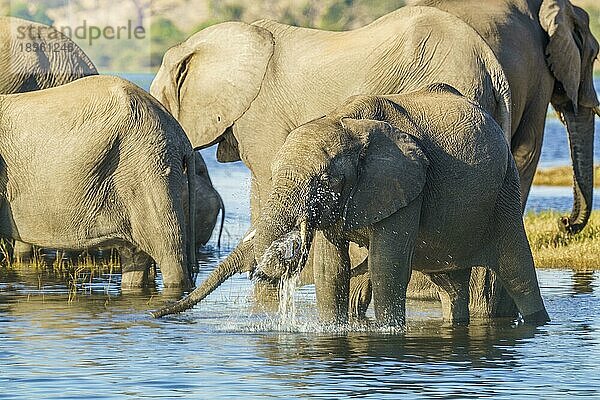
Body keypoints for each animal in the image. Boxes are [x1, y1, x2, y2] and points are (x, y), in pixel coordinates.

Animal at [154, 83, 548, 324]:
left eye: (322, 181)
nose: (155, 316)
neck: (347, 123)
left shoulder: (406, 184)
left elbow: (387, 264)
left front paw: (389, 335)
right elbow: (332, 269)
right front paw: (332, 329)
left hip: (505, 187)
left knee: (517, 270)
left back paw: (536, 323)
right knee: (449, 285)